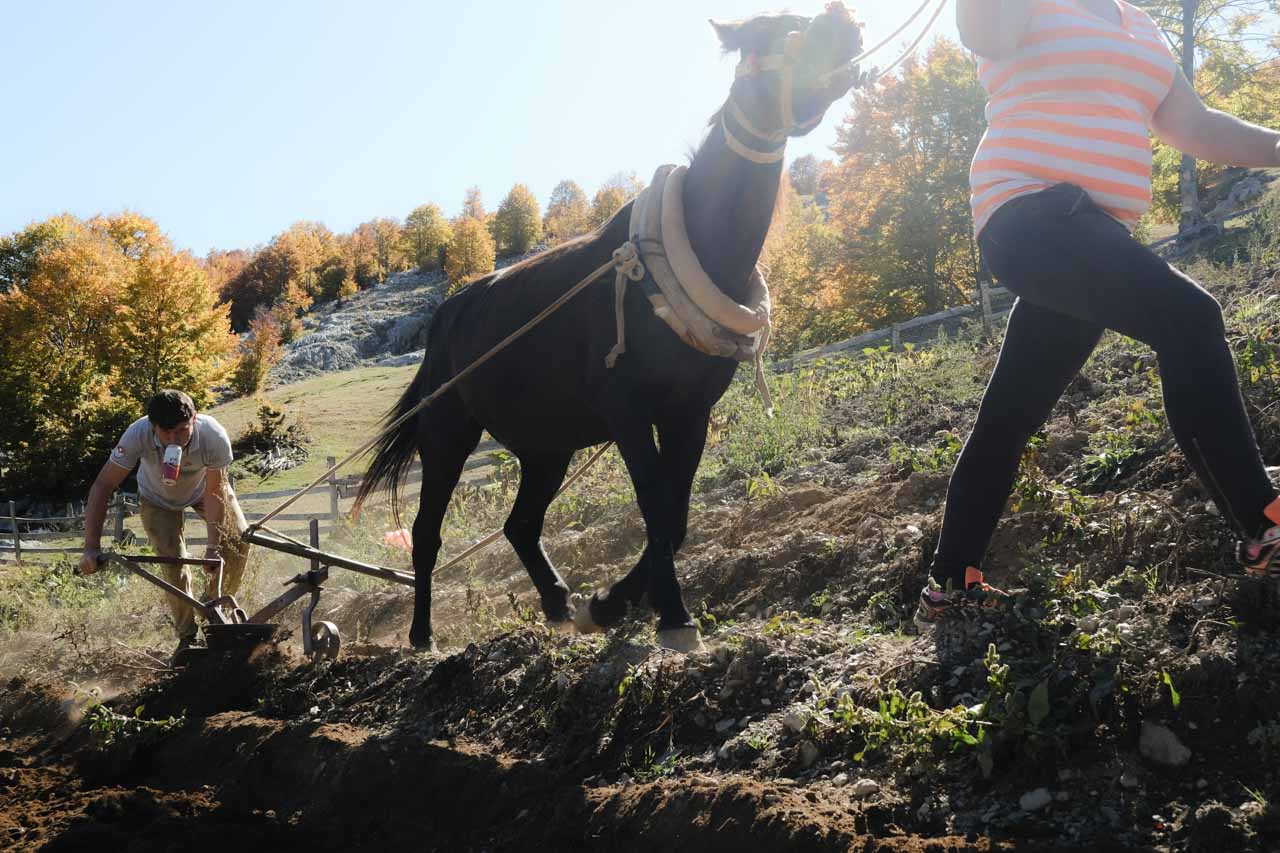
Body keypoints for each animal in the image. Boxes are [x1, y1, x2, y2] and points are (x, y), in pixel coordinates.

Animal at [355, 3, 865, 650]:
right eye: (766, 34)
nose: (845, 21)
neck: (688, 253)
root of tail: (447, 315)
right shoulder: (627, 410)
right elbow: (654, 505)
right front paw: (671, 615)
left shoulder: (689, 412)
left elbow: (676, 514)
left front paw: (609, 604)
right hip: (447, 434)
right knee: (427, 531)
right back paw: (422, 635)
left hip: (546, 444)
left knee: (520, 524)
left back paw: (556, 601)